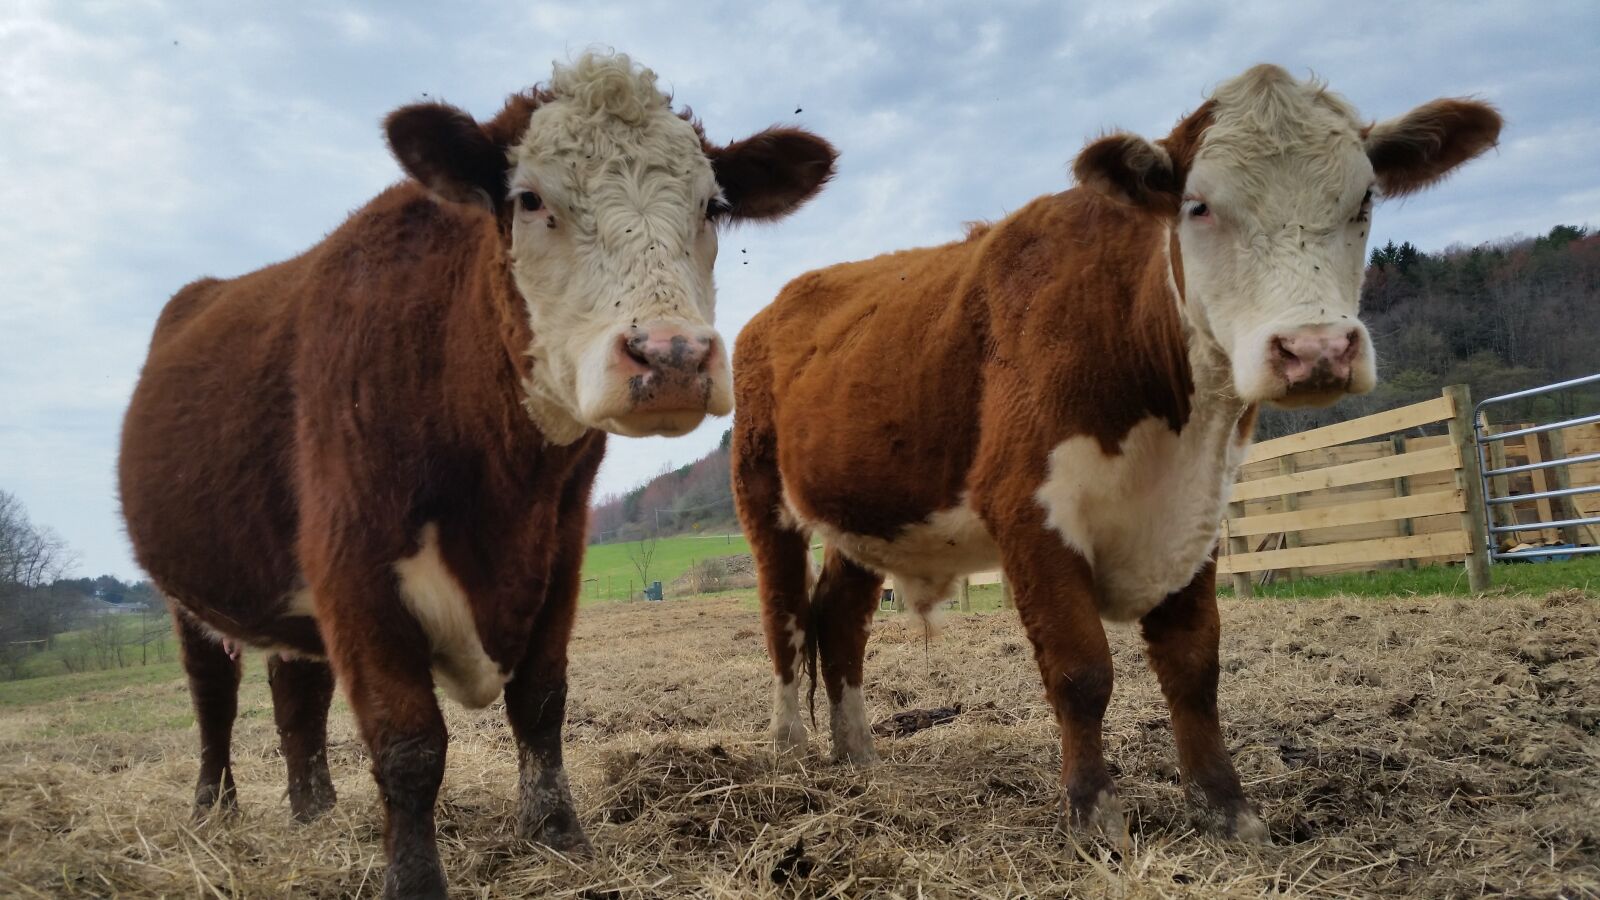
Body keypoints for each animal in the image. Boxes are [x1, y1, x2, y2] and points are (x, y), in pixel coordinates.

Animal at [118, 52, 835, 898]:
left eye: (712, 207)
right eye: (529, 199)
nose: (672, 356)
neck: (502, 487)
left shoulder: (560, 550)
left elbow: (541, 702)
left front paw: (558, 835)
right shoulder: (352, 565)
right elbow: (409, 743)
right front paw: (415, 879)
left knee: (297, 698)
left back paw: (314, 815)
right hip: (187, 597)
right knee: (214, 698)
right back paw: (212, 810)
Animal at [732, 65, 1499, 845]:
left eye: (1363, 198)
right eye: (1198, 206)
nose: (1315, 349)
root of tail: (777, 304)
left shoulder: (1198, 515)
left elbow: (1195, 666)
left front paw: (1227, 808)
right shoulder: (1030, 510)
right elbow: (1081, 671)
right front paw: (1095, 813)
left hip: (865, 515)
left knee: (839, 619)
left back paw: (856, 752)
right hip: (764, 498)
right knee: (784, 615)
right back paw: (791, 745)